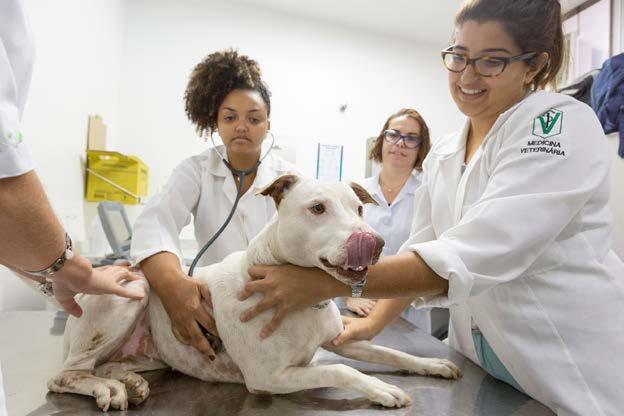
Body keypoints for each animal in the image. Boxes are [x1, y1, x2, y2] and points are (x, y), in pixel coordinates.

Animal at [46, 175, 460, 410]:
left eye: (359, 208)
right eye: (317, 208)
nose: (374, 242)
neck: (304, 301)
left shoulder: (342, 339)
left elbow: (391, 351)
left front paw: (433, 364)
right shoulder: (268, 376)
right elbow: (341, 369)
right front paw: (381, 388)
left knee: (100, 366)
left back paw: (127, 381)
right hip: (129, 292)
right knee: (65, 374)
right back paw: (109, 390)